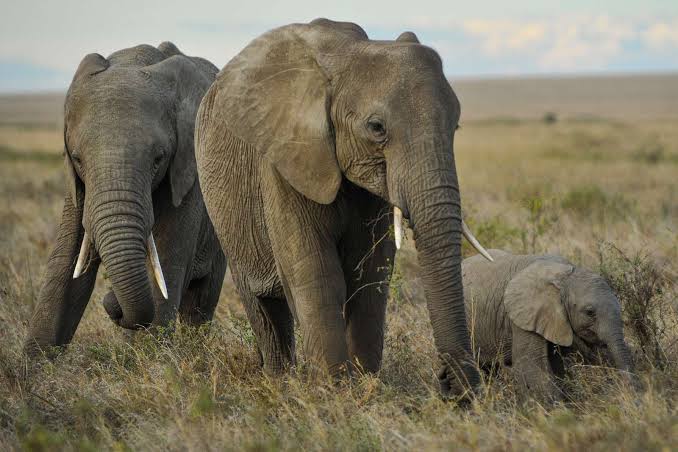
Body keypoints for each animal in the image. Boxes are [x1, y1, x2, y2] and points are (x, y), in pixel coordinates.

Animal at [25, 41, 227, 356]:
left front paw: (154, 361)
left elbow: (166, 264)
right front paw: (32, 366)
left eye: (158, 159)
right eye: (78, 158)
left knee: (201, 302)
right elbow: (65, 265)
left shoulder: (189, 169)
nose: (113, 303)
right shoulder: (78, 188)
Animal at [195, 18, 488, 396]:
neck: (351, 55)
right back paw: (280, 382)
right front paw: (334, 390)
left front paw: (365, 383)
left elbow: (370, 273)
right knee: (260, 304)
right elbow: (318, 271)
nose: (451, 385)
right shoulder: (285, 160)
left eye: (456, 125)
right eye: (376, 128)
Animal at [464, 249, 636, 400]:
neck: (564, 275)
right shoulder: (524, 314)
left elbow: (558, 364)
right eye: (589, 312)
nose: (629, 389)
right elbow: (531, 365)